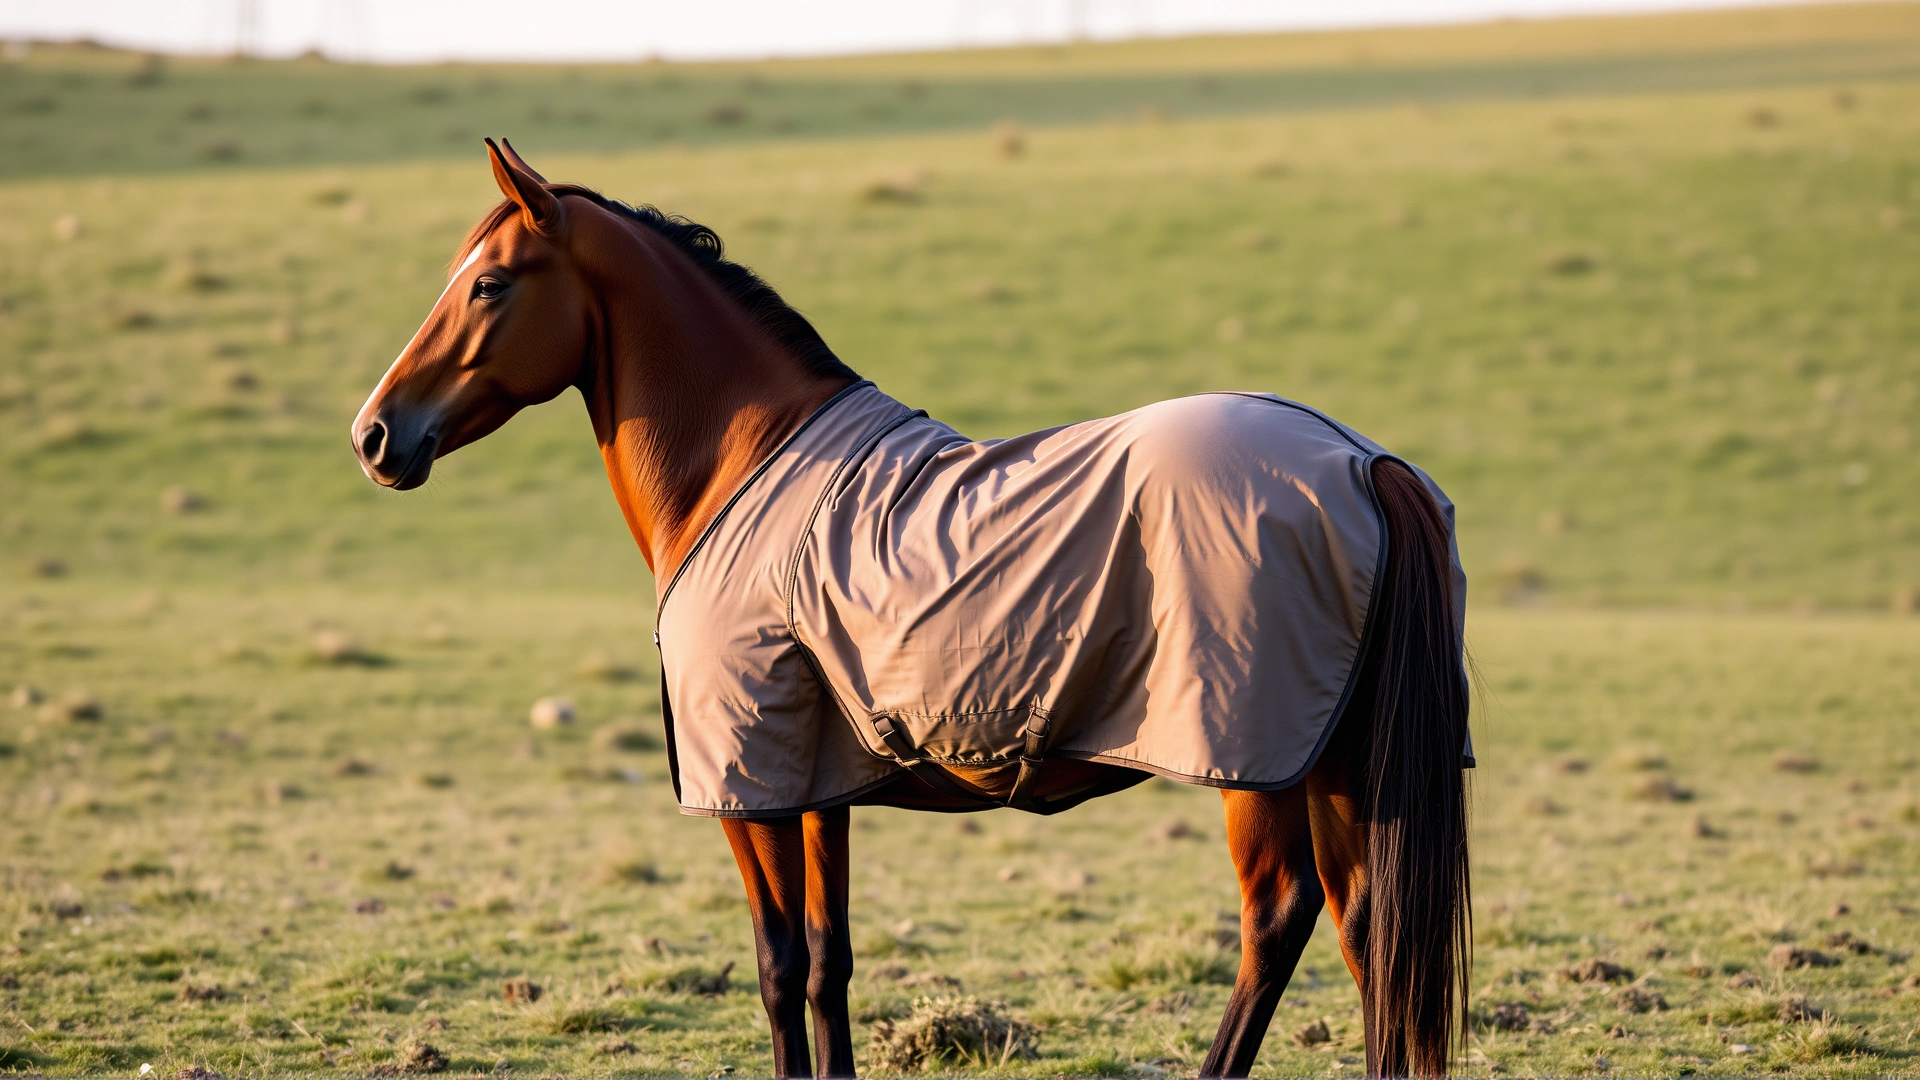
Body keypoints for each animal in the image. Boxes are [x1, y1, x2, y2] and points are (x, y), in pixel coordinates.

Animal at [351, 140, 1471, 1079]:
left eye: (489, 283)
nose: (375, 433)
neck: (743, 468)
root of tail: (1362, 463)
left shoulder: (750, 789)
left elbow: (776, 964)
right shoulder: (818, 783)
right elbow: (825, 963)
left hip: (1256, 764)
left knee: (1278, 923)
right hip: (1339, 764)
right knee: (1367, 931)